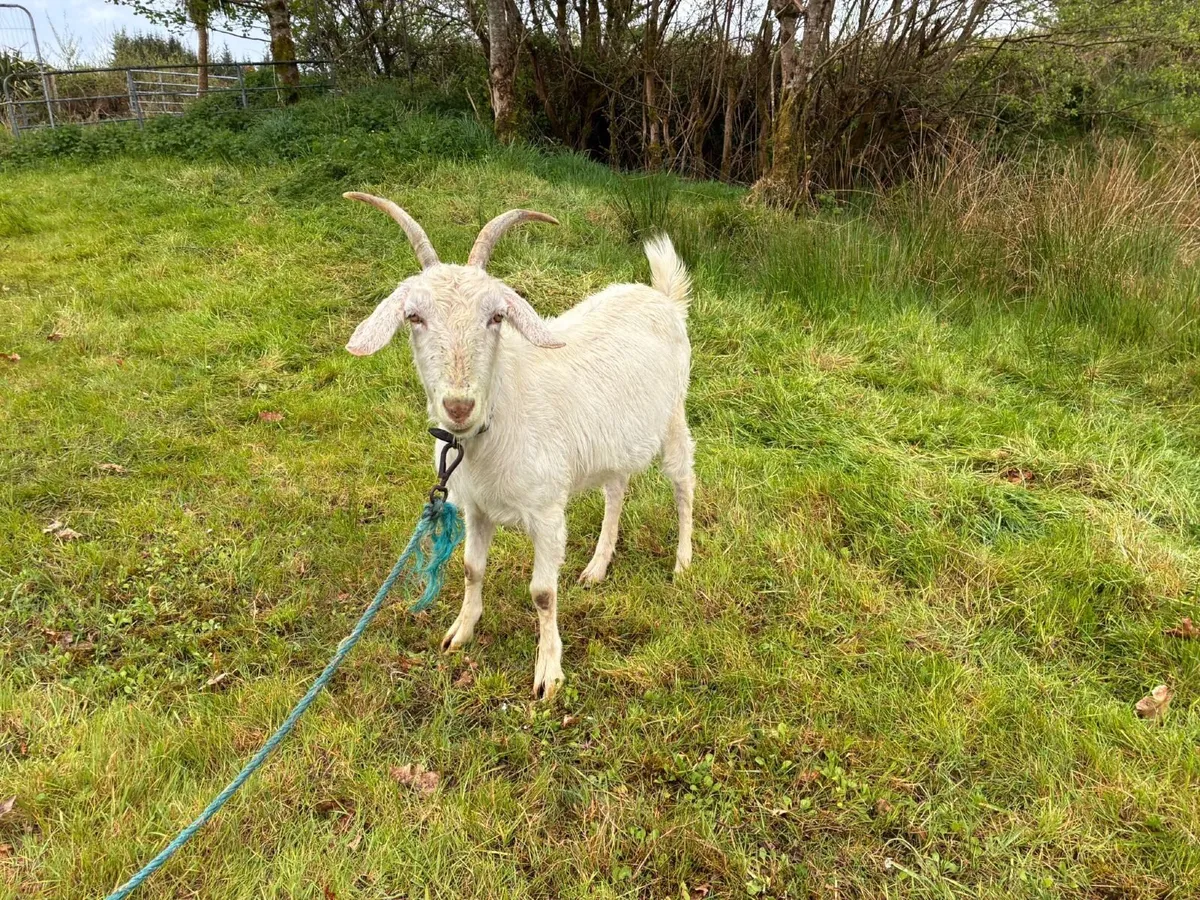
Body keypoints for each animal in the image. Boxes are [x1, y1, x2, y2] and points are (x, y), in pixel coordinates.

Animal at [343, 193, 696, 699]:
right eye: (414, 316)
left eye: (496, 317)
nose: (459, 405)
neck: (495, 422)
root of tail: (662, 297)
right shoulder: (475, 508)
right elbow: (471, 567)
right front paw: (461, 632)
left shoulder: (547, 512)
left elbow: (543, 594)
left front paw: (548, 674)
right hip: (614, 442)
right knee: (616, 489)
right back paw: (597, 566)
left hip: (673, 416)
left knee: (684, 482)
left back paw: (683, 563)